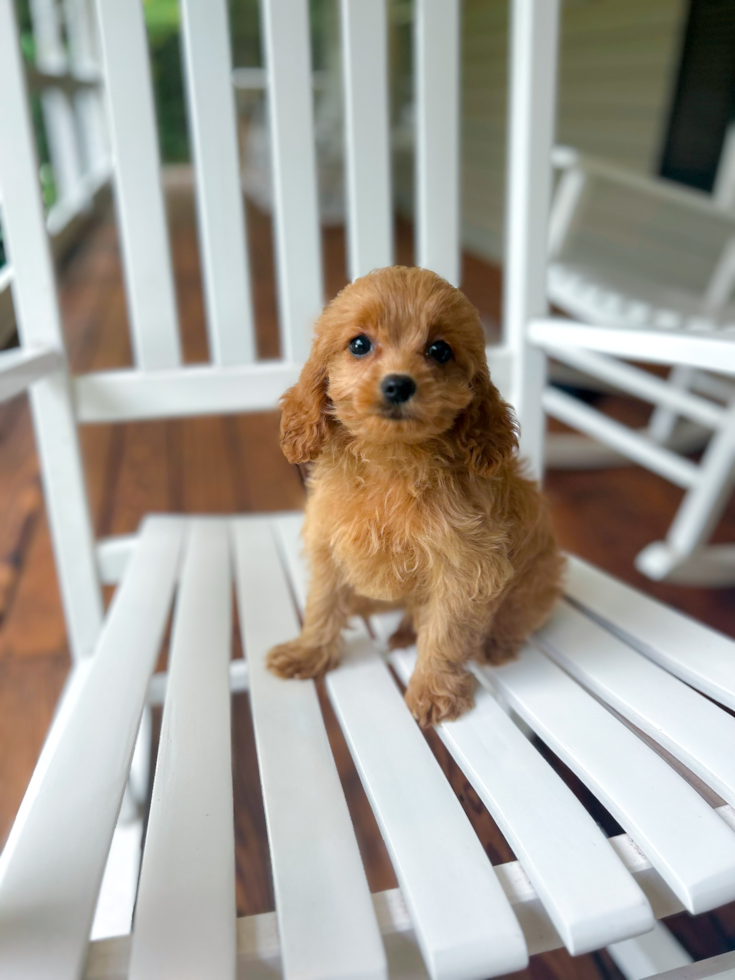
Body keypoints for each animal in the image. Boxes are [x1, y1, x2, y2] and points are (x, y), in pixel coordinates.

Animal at [268, 264, 564, 724]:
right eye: (359, 344)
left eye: (440, 350)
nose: (398, 385)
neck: (392, 459)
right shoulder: (329, 543)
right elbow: (322, 603)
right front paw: (308, 652)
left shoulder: (465, 567)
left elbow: (446, 631)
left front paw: (433, 689)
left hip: (537, 581)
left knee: (515, 617)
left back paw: (493, 644)